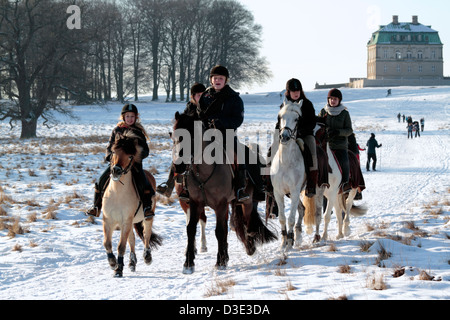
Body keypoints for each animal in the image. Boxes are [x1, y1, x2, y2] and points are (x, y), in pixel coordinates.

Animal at [103, 130, 163, 278]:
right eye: (113, 152)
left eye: (130, 156)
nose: (116, 170)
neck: (117, 193)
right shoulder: (108, 220)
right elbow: (107, 243)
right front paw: (113, 262)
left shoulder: (126, 220)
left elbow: (121, 246)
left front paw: (118, 270)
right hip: (130, 223)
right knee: (132, 239)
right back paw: (132, 262)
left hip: (147, 217)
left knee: (146, 235)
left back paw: (147, 257)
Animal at [172, 111, 276, 274]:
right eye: (174, 137)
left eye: (192, 138)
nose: (178, 166)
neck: (204, 173)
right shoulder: (195, 203)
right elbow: (191, 229)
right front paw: (188, 263)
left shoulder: (220, 205)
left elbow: (220, 231)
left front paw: (220, 262)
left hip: (245, 201)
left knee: (247, 222)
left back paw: (250, 247)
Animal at [270, 100, 316, 250]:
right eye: (281, 117)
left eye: (297, 119)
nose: (284, 136)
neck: (285, 162)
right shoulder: (278, 192)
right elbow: (282, 218)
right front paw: (284, 242)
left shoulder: (295, 191)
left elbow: (290, 219)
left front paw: (289, 243)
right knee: (302, 209)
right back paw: (299, 236)